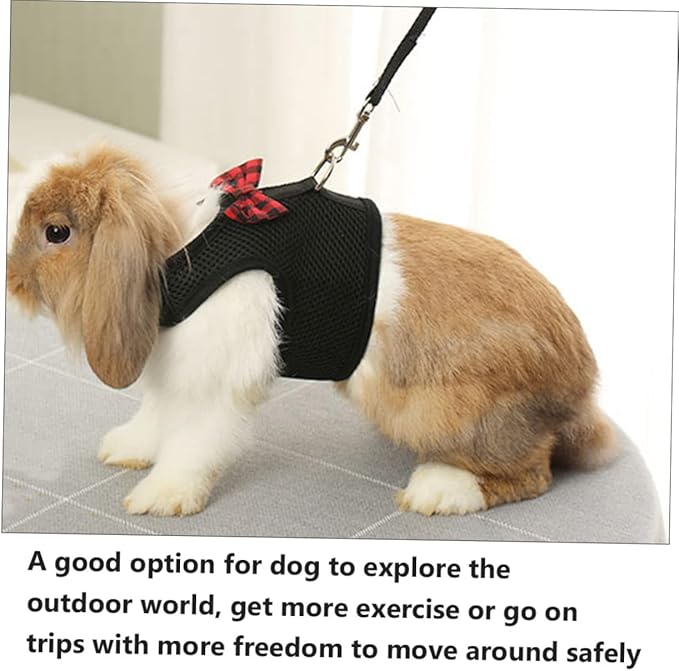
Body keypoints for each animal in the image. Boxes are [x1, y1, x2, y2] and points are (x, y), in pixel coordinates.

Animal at [6, 144, 618, 517]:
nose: (10, 282)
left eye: (56, 232)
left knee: (533, 473)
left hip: (444, 411)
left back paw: (440, 490)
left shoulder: (214, 386)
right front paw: (128, 450)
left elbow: (192, 443)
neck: (177, 255)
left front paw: (161, 499)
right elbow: (157, 415)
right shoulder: (175, 366)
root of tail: (581, 383)